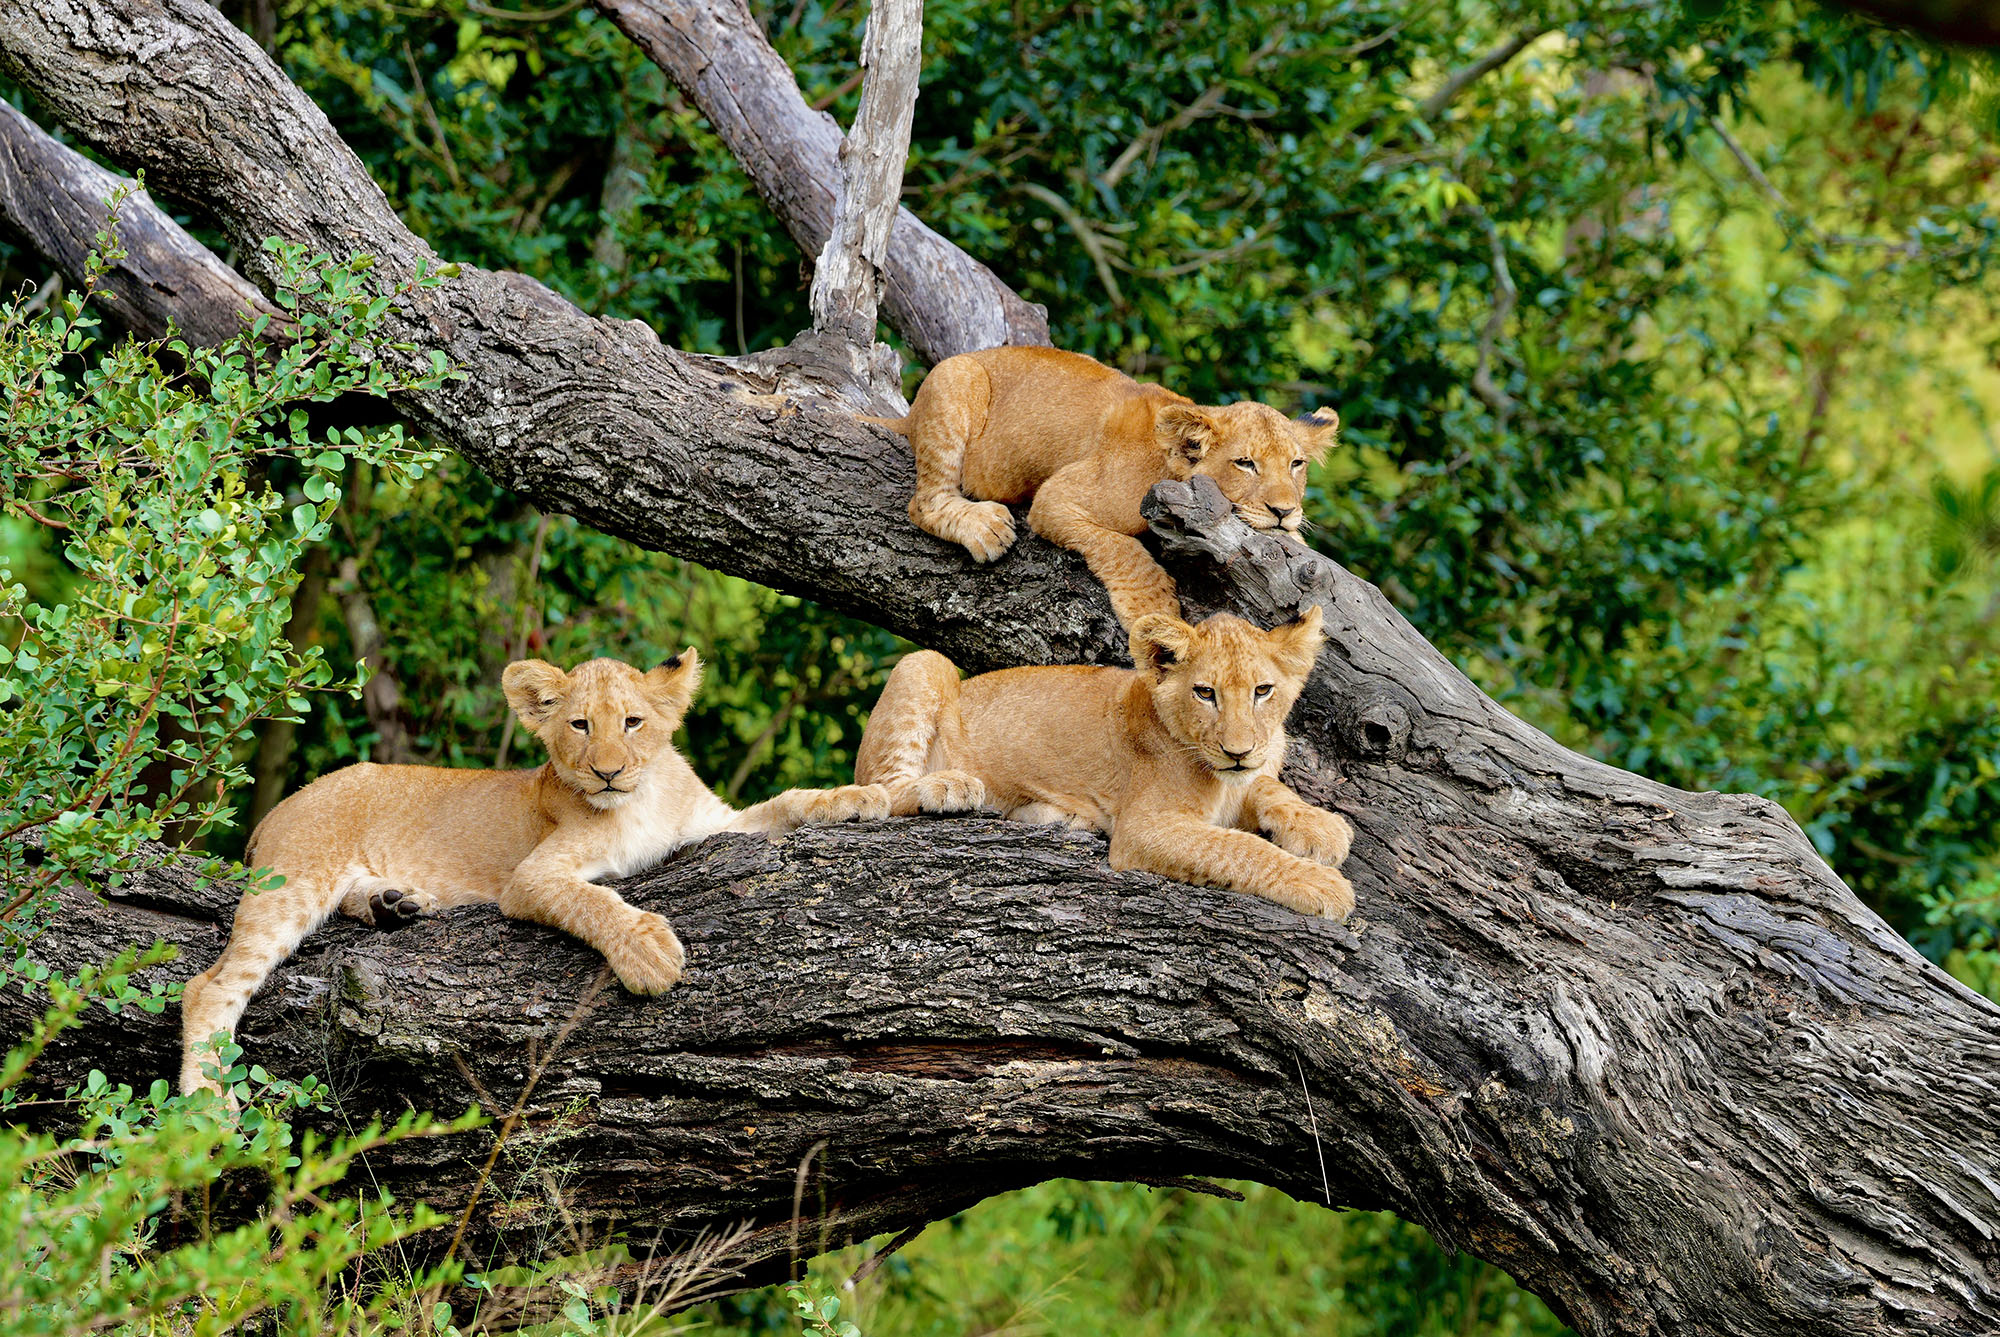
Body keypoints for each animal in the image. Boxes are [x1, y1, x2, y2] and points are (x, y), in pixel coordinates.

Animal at [179, 653, 890, 1096]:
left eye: (633, 722)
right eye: (579, 725)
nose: (608, 772)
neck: (643, 799)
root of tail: (280, 808)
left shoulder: (717, 823)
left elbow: (788, 803)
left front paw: (870, 797)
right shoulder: (532, 877)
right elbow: (589, 901)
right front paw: (651, 955)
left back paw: (395, 903)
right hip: (292, 884)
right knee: (208, 988)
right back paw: (210, 1108)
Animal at [853, 605, 1355, 919]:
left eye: (1262, 691)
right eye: (1205, 693)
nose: (1238, 752)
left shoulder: (1250, 777)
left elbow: (1269, 787)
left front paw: (1321, 828)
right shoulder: (1143, 828)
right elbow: (1237, 848)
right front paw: (1321, 883)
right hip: (924, 663)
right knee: (885, 789)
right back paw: (949, 788)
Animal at [865, 347, 1341, 630]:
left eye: (1296, 464)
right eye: (1245, 464)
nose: (1285, 511)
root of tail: (908, 415)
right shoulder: (1055, 497)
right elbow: (1122, 548)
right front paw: (1152, 608)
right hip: (955, 377)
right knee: (924, 502)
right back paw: (985, 528)